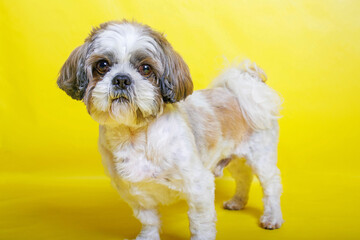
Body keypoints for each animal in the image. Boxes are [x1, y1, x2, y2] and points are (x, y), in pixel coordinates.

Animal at [57, 20, 284, 240]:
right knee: (244, 178)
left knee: (271, 185)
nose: (121, 79)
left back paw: (272, 217)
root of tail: (240, 89)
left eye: (146, 68)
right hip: (234, 157)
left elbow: (200, 224)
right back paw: (237, 201)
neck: (134, 136)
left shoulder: (199, 186)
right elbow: (148, 220)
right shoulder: (135, 192)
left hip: (261, 157)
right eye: (102, 65)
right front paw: (147, 237)